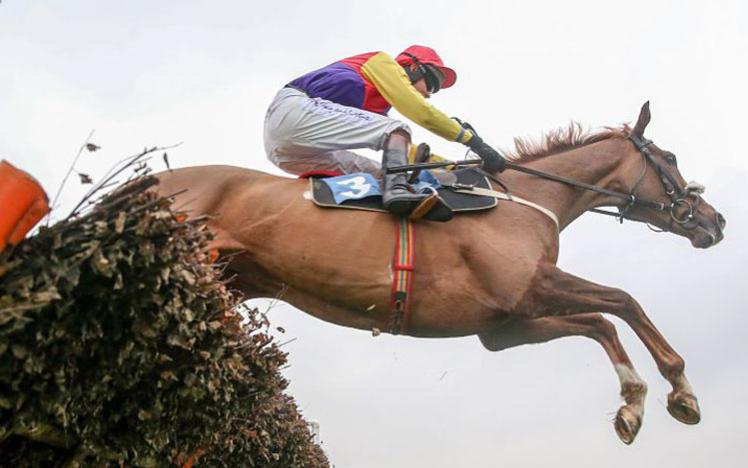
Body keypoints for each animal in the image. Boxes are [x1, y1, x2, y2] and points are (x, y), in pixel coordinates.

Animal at [153, 101, 724, 442]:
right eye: (670, 157)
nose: (715, 221)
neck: (523, 198)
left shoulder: (505, 324)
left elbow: (600, 322)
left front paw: (632, 405)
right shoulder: (529, 286)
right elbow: (623, 300)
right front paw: (680, 389)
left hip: (224, 282)